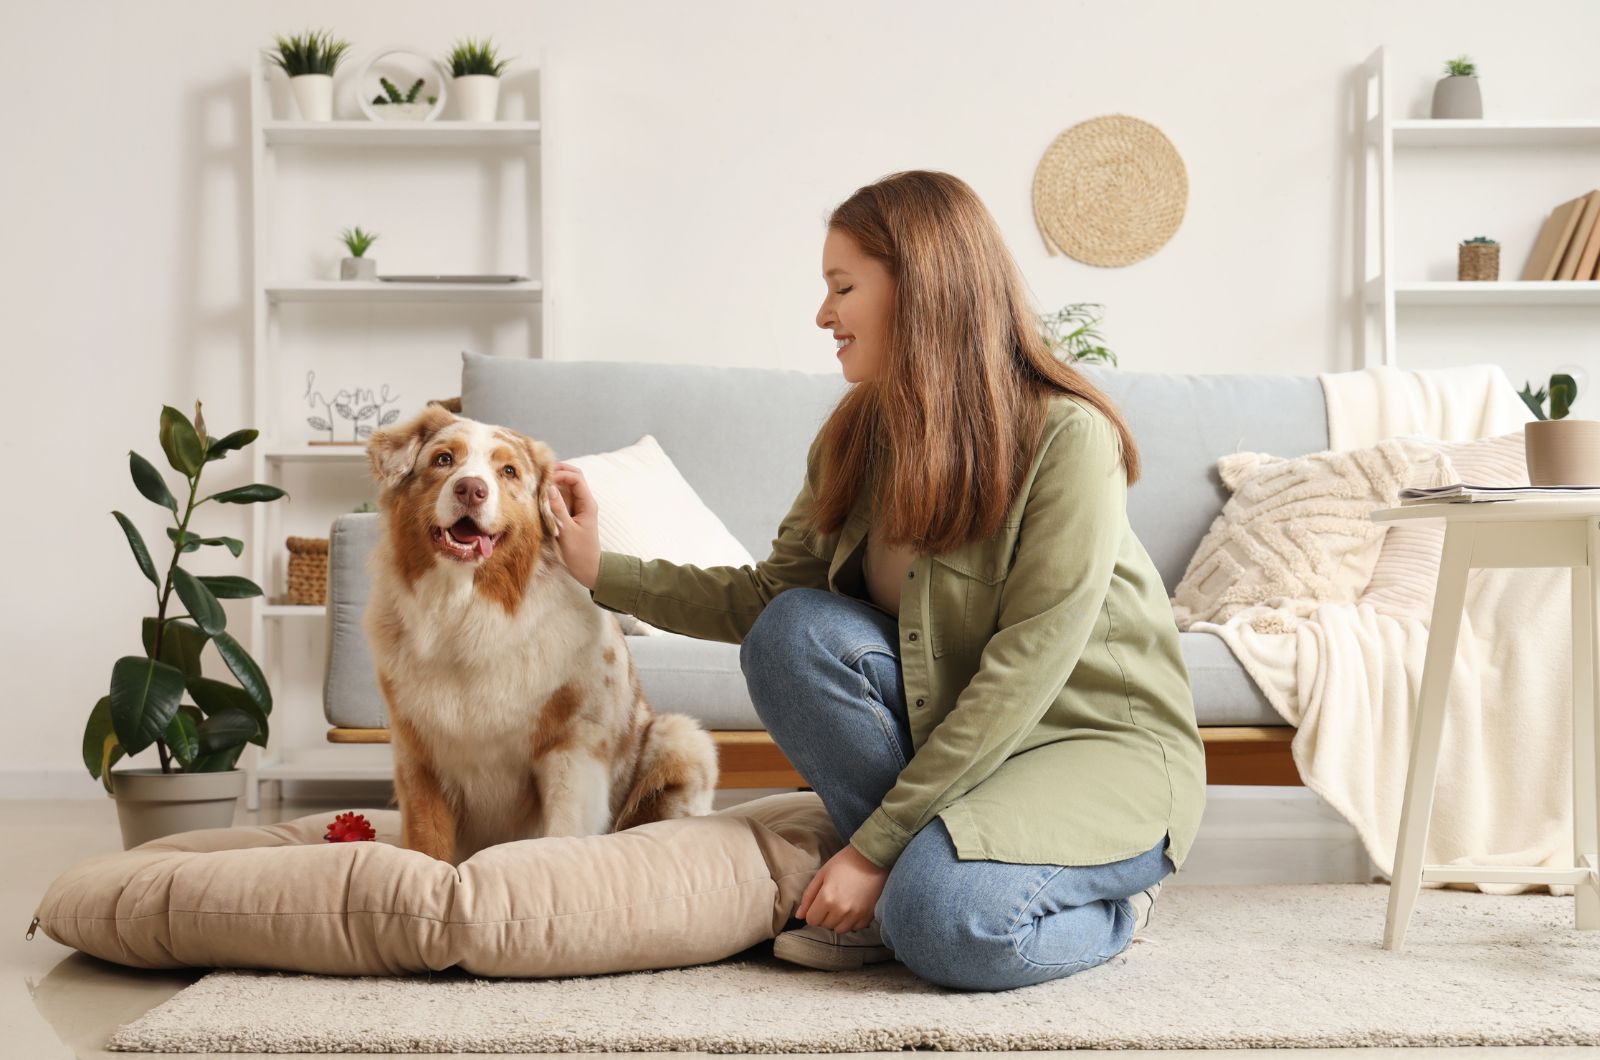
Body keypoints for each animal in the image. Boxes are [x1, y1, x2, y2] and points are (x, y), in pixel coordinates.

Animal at [368, 403, 720, 871]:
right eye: (444, 459)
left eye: (509, 471)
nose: (471, 490)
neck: (466, 613)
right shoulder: (418, 755)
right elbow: (429, 848)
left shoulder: (574, 746)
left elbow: (561, 836)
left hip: (681, 738)